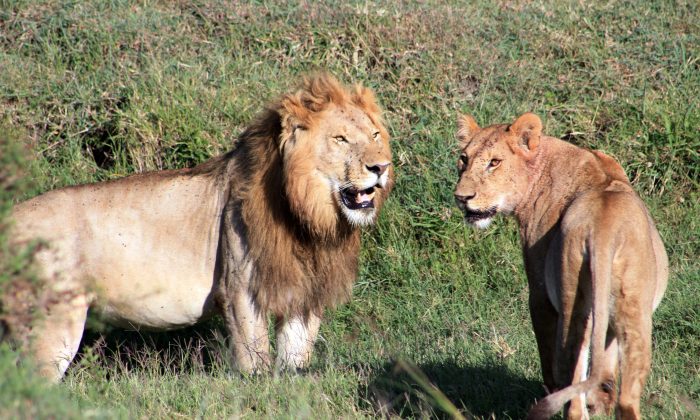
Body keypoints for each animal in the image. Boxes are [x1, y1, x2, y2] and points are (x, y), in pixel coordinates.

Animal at [9, 74, 394, 380]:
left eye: (376, 134)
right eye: (341, 139)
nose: (381, 167)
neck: (308, 218)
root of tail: (11, 217)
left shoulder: (303, 293)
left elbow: (295, 360)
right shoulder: (241, 290)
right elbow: (255, 362)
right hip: (52, 323)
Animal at [454, 113, 668, 418]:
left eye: (494, 162)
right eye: (464, 159)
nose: (462, 198)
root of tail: (603, 230)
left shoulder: (539, 294)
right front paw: (600, 403)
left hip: (570, 306)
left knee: (573, 393)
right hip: (635, 315)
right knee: (626, 399)